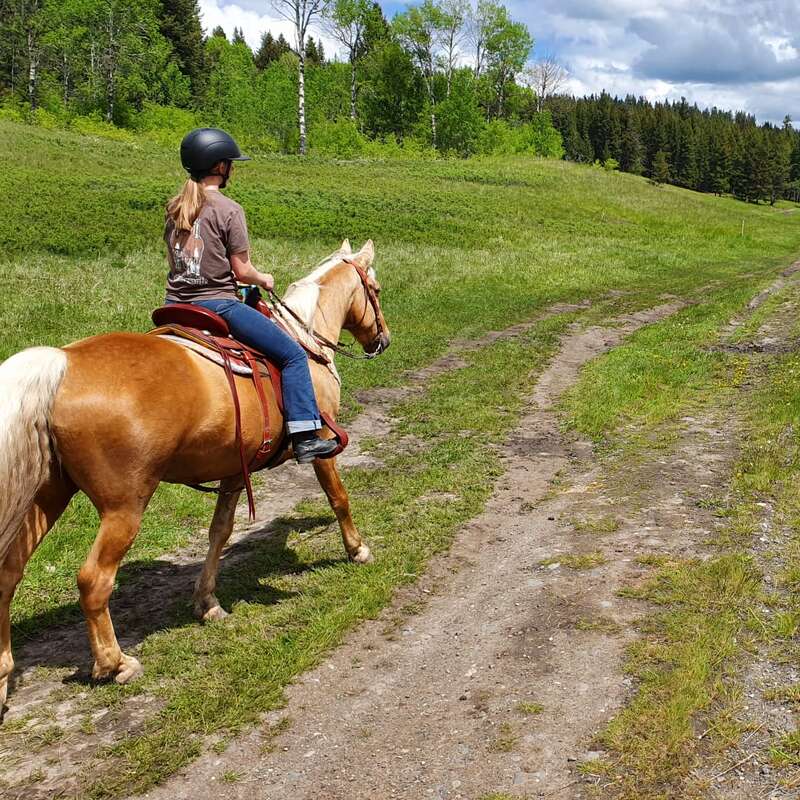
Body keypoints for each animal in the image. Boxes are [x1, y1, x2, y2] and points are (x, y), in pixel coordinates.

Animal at [0, 239, 389, 712]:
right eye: (375, 289)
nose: (382, 340)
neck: (304, 341)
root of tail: (64, 363)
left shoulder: (236, 468)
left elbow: (219, 531)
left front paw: (207, 603)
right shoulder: (322, 442)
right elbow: (338, 498)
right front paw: (358, 550)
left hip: (48, 494)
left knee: (7, 575)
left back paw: (2, 677)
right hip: (123, 506)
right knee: (93, 581)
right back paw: (115, 664)